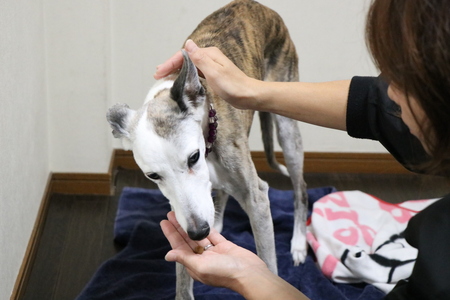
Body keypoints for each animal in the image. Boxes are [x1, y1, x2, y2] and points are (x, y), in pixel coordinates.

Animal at [107, 0, 308, 298]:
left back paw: (298, 243)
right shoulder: (180, 210)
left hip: (287, 123)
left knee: (300, 188)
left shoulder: (257, 198)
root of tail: (260, 6)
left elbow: (269, 263)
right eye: (152, 176)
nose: (199, 232)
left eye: (193, 157)